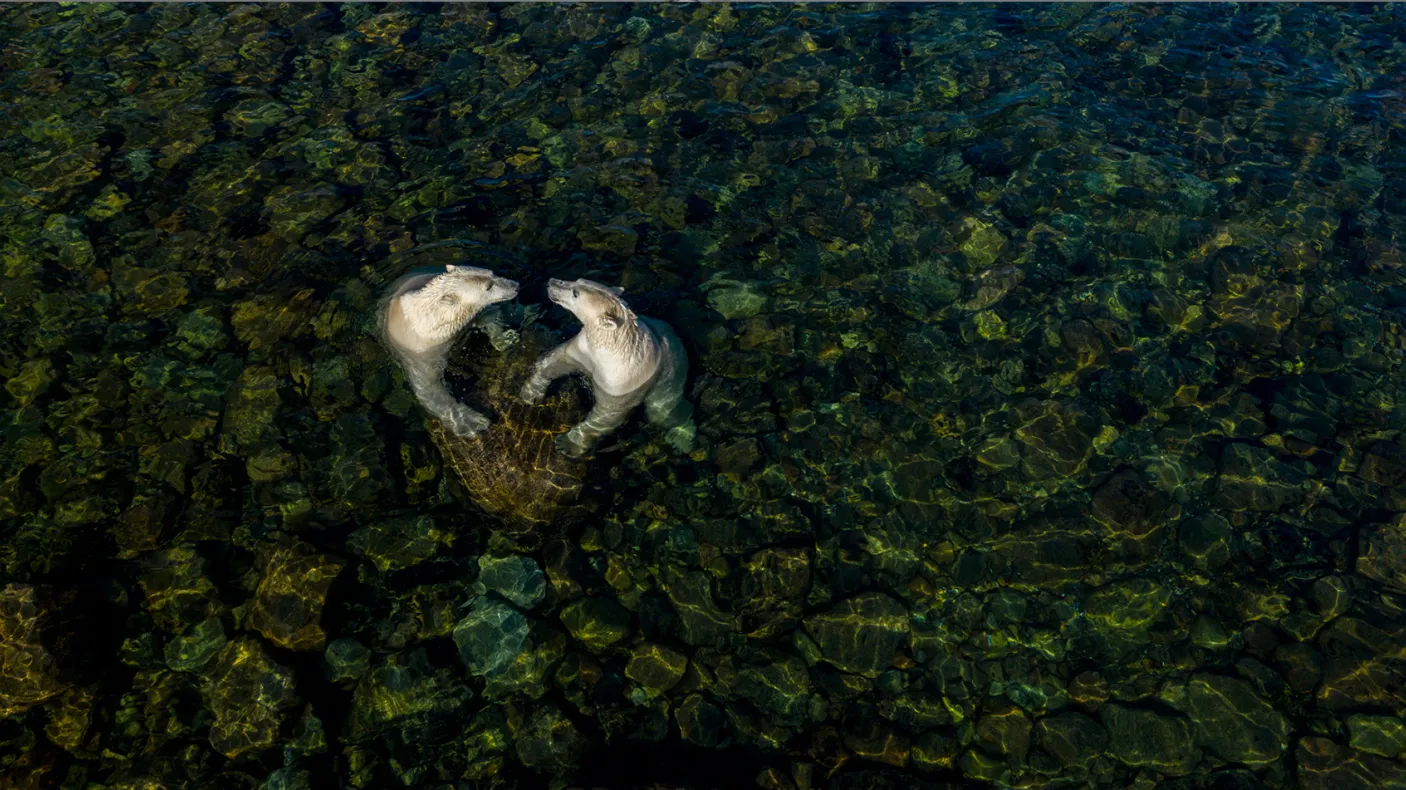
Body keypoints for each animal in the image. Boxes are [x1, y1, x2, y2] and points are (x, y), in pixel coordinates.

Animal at [378, 264, 520, 437]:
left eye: (492, 273)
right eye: (488, 287)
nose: (516, 286)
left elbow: (488, 317)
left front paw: (507, 339)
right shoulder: (420, 351)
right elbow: (428, 388)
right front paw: (475, 422)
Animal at [519, 277, 695, 457]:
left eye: (576, 293)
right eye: (577, 280)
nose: (551, 282)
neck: (611, 347)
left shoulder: (619, 382)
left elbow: (607, 415)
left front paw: (567, 444)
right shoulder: (584, 349)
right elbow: (558, 360)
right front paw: (531, 394)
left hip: (672, 372)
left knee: (663, 411)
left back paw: (682, 437)